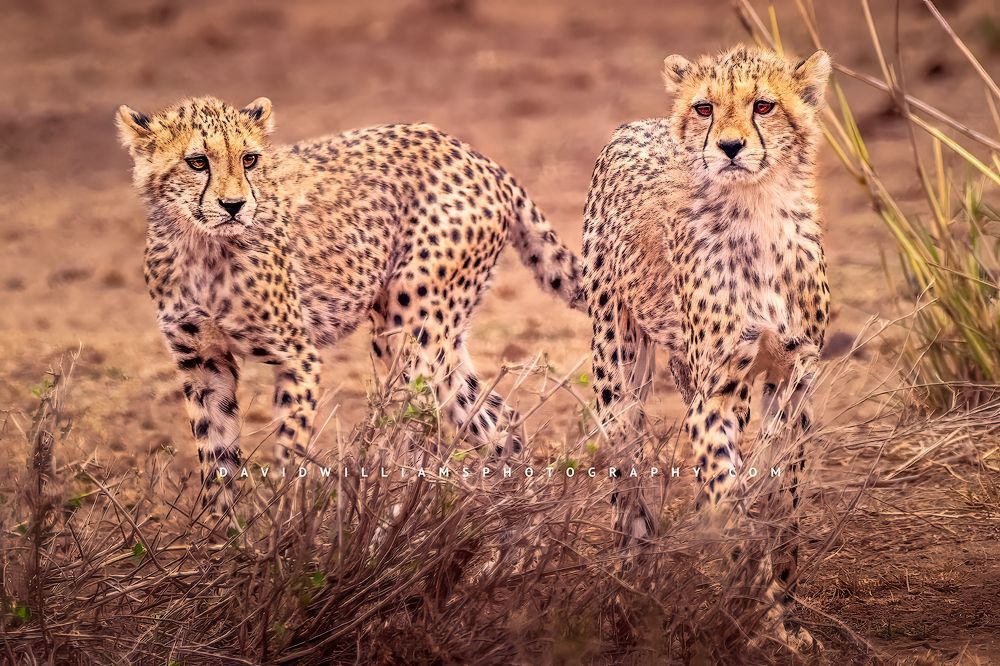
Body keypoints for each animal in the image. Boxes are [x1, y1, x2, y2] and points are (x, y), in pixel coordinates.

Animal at [116, 96, 585, 511]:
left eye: (249, 159)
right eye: (197, 162)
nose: (234, 205)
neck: (199, 243)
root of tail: (476, 157)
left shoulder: (297, 357)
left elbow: (289, 457)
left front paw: (284, 534)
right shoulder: (203, 363)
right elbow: (216, 458)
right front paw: (225, 540)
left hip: (411, 327)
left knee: (424, 427)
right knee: (497, 420)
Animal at [581, 46, 832, 650]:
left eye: (764, 105)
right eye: (704, 107)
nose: (730, 147)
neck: (759, 211)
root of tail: (636, 124)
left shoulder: (796, 379)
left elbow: (783, 494)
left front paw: (784, 613)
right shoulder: (718, 393)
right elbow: (726, 491)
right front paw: (746, 602)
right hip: (617, 371)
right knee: (628, 482)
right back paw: (632, 588)